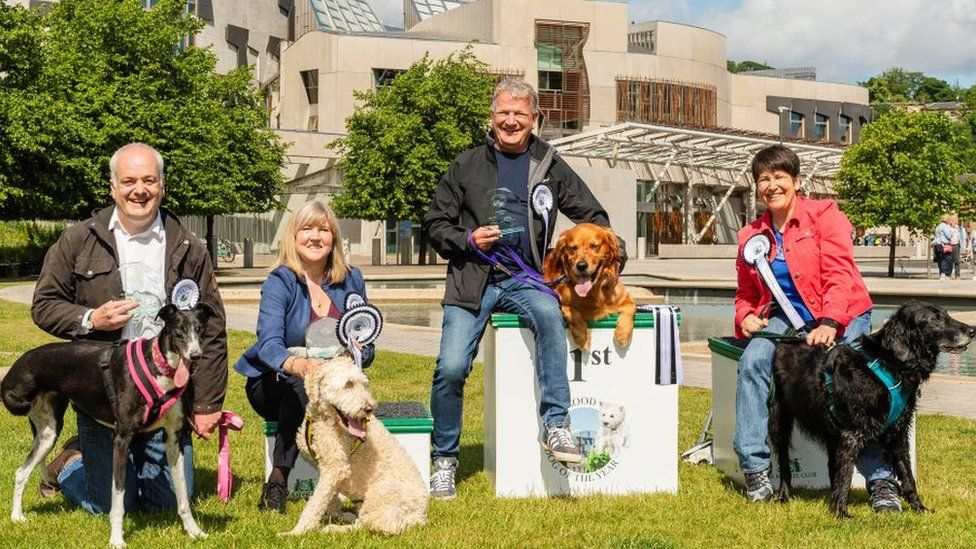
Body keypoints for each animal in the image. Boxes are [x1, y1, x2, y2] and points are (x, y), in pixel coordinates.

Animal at [0, 302, 214, 544]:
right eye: (179, 330)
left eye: (201, 329)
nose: (195, 356)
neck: (158, 369)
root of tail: (20, 363)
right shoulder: (121, 439)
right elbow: (118, 498)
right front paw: (117, 539)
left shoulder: (173, 440)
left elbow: (182, 495)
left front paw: (194, 531)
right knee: (21, 472)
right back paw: (16, 516)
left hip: (48, 433)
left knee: (23, 471)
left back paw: (18, 515)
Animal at [280, 354, 426, 532]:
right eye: (348, 384)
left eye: (364, 385)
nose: (370, 408)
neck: (323, 418)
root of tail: (419, 516)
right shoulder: (327, 467)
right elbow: (328, 496)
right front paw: (334, 512)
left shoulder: (335, 467)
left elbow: (315, 503)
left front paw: (298, 531)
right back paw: (346, 517)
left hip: (380, 492)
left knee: (367, 525)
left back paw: (333, 528)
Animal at [772, 302, 976, 516]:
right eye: (935, 319)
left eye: (946, 314)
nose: (972, 331)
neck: (888, 364)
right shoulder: (851, 434)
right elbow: (845, 475)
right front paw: (841, 513)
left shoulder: (898, 433)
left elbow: (908, 475)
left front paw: (920, 508)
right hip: (779, 419)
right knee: (784, 460)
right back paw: (784, 495)